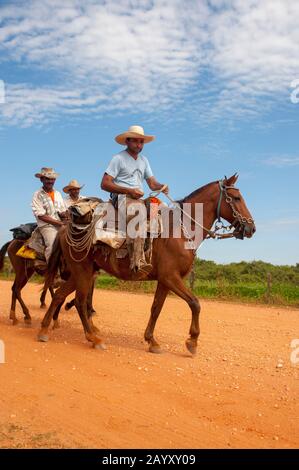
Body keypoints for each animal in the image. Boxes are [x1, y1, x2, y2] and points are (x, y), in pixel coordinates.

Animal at [38, 174, 256, 354]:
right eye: (236, 198)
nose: (251, 228)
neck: (180, 230)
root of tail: (65, 228)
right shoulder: (171, 277)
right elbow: (195, 303)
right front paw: (192, 341)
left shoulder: (165, 281)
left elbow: (156, 308)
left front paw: (152, 341)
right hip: (82, 271)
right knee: (80, 302)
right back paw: (93, 338)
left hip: (81, 272)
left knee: (60, 295)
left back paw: (44, 329)